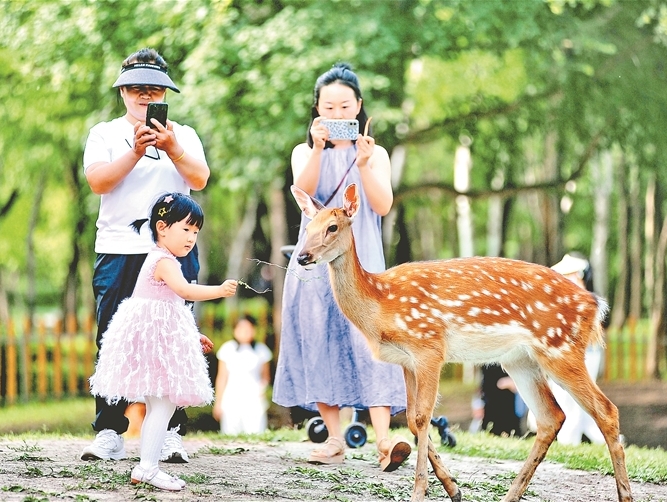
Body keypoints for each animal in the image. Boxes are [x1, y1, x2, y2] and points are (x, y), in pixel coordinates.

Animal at [290, 183, 633, 502]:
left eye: (332, 227)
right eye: (306, 228)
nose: (302, 256)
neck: (381, 304)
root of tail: (595, 304)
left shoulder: (429, 345)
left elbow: (421, 417)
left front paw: (420, 491)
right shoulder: (406, 361)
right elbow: (413, 421)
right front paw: (453, 488)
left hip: (561, 347)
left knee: (605, 410)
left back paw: (625, 494)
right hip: (520, 359)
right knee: (551, 417)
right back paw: (510, 495)